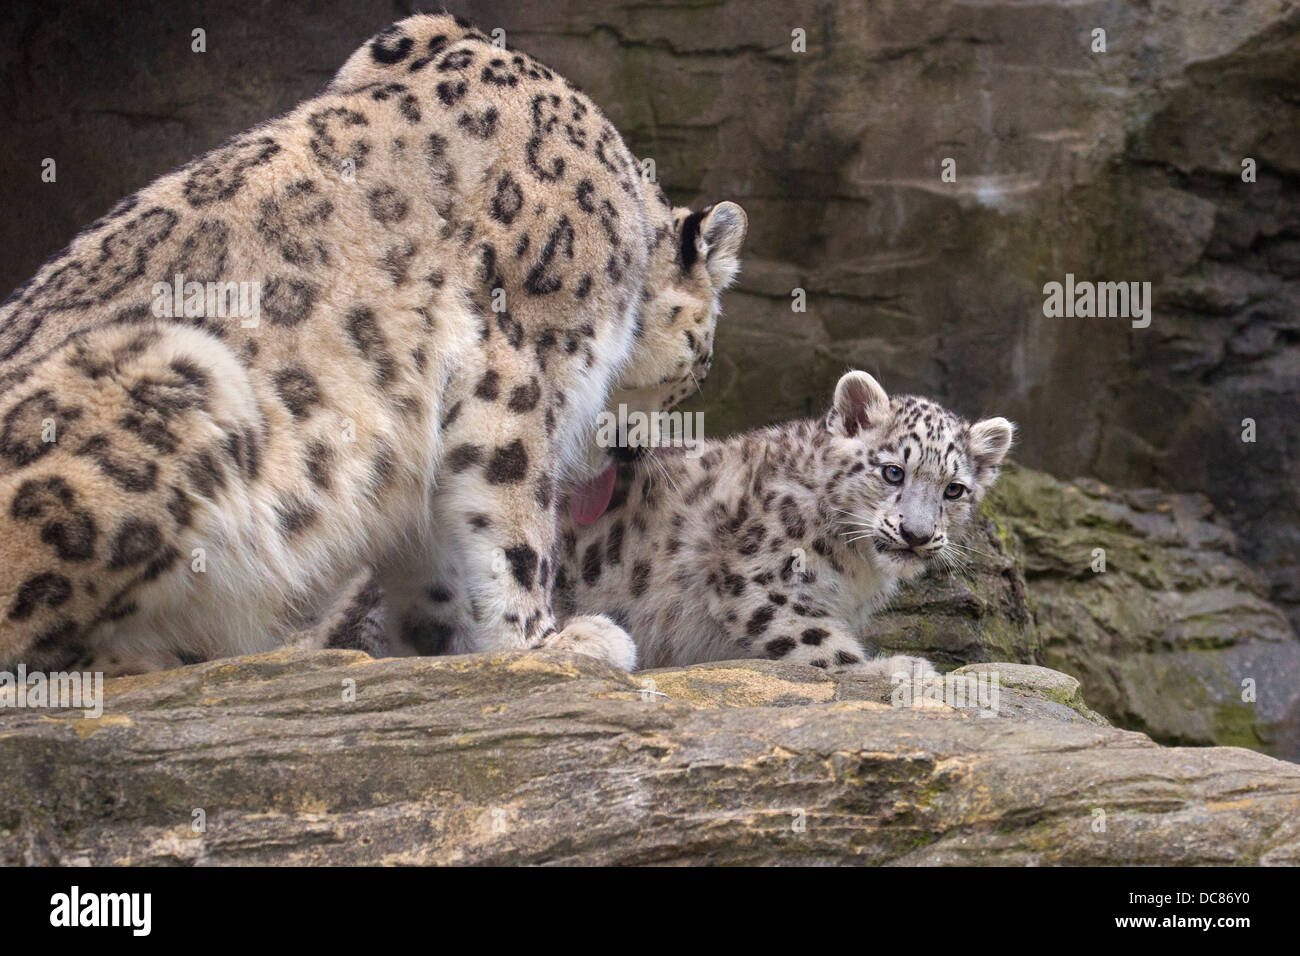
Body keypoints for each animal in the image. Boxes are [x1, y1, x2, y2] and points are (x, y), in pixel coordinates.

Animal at [0, 13, 748, 671]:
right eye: (697, 373)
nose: (634, 454)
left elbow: (438, 550)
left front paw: (443, 640)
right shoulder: (521, 360)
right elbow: (514, 512)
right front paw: (547, 641)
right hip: (181, 374)